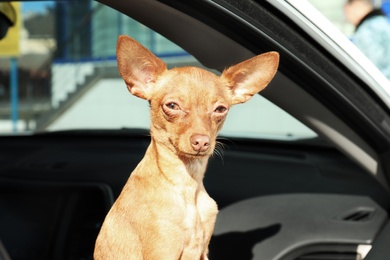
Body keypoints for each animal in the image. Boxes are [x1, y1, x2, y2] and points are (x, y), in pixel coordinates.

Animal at [93, 35, 278, 260]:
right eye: (172, 106)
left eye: (220, 109)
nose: (202, 141)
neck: (188, 181)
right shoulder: (162, 252)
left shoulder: (203, 250)